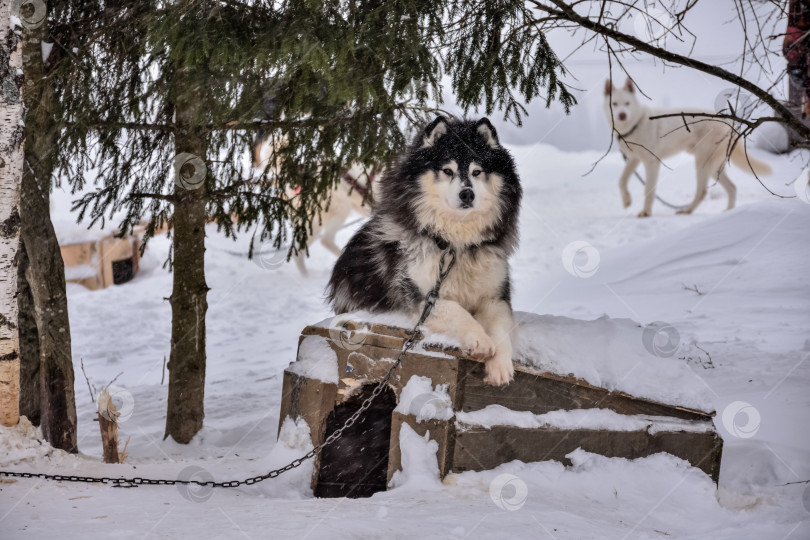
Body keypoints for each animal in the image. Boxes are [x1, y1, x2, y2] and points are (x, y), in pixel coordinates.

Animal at [604, 78, 768, 217]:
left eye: (627, 103)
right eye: (614, 104)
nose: (622, 115)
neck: (636, 124)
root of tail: (730, 124)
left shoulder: (652, 163)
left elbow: (649, 190)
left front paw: (646, 212)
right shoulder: (634, 159)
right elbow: (622, 181)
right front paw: (627, 200)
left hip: (703, 163)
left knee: (702, 191)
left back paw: (687, 211)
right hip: (714, 168)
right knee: (732, 188)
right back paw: (729, 212)